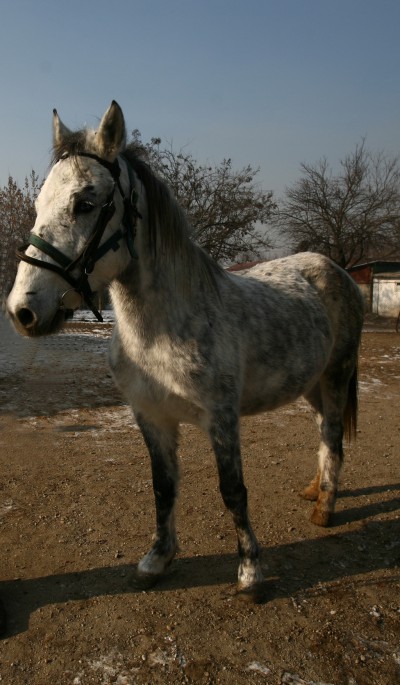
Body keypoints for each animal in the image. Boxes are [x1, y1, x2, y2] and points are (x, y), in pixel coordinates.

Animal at [6, 101, 364, 600]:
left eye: (85, 204)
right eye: (40, 204)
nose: (22, 311)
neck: (156, 334)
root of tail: (334, 269)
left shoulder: (222, 419)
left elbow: (233, 490)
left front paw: (250, 572)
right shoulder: (151, 418)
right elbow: (163, 488)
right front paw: (157, 559)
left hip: (336, 376)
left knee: (332, 436)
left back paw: (325, 507)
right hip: (311, 383)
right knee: (322, 433)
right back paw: (314, 490)